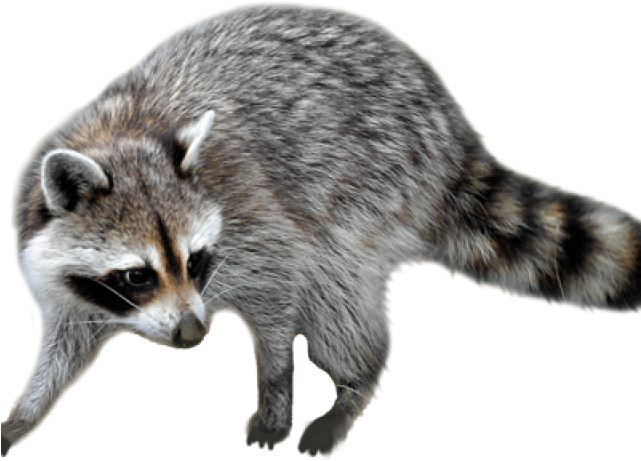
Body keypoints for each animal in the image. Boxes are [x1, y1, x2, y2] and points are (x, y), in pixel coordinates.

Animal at [3, 2, 639, 459]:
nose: (191, 333)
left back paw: (354, 387)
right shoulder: (58, 273)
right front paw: (23, 416)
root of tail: (448, 123)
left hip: (378, 183)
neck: (119, 135)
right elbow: (63, 347)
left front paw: (277, 391)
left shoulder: (256, 223)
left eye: (197, 260)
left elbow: (279, 299)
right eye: (136, 275)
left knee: (338, 294)